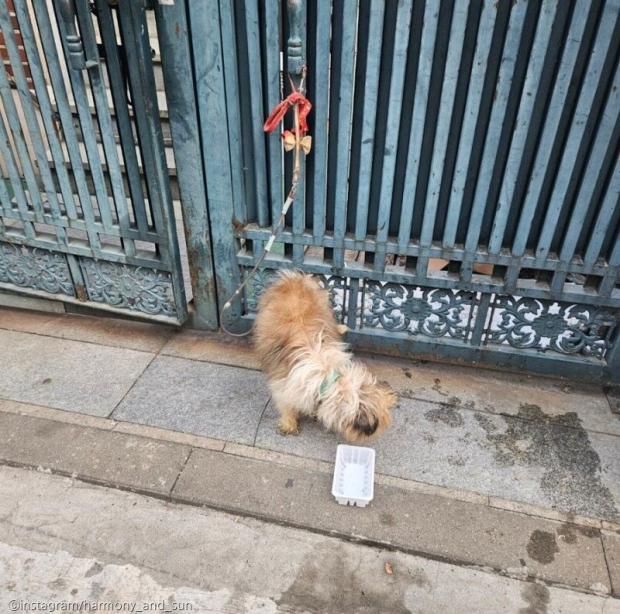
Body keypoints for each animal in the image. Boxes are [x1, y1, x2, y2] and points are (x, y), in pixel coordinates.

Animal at [254, 274, 394, 442]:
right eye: (379, 423)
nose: (383, 428)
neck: (327, 378)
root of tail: (294, 279)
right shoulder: (284, 385)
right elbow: (286, 405)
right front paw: (289, 423)